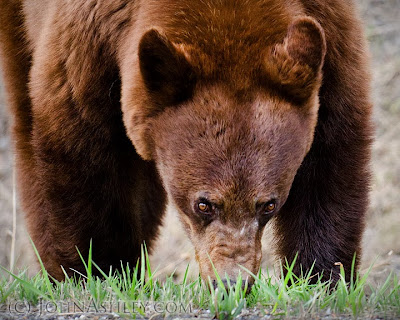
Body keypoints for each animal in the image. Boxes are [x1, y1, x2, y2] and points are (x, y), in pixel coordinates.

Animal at [0, 0, 372, 284]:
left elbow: (333, 153)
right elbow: (81, 147)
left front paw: (322, 277)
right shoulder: (90, 35)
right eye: (203, 204)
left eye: (269, 204)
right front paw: (97, 272)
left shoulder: (329, 36)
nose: (231, 284)